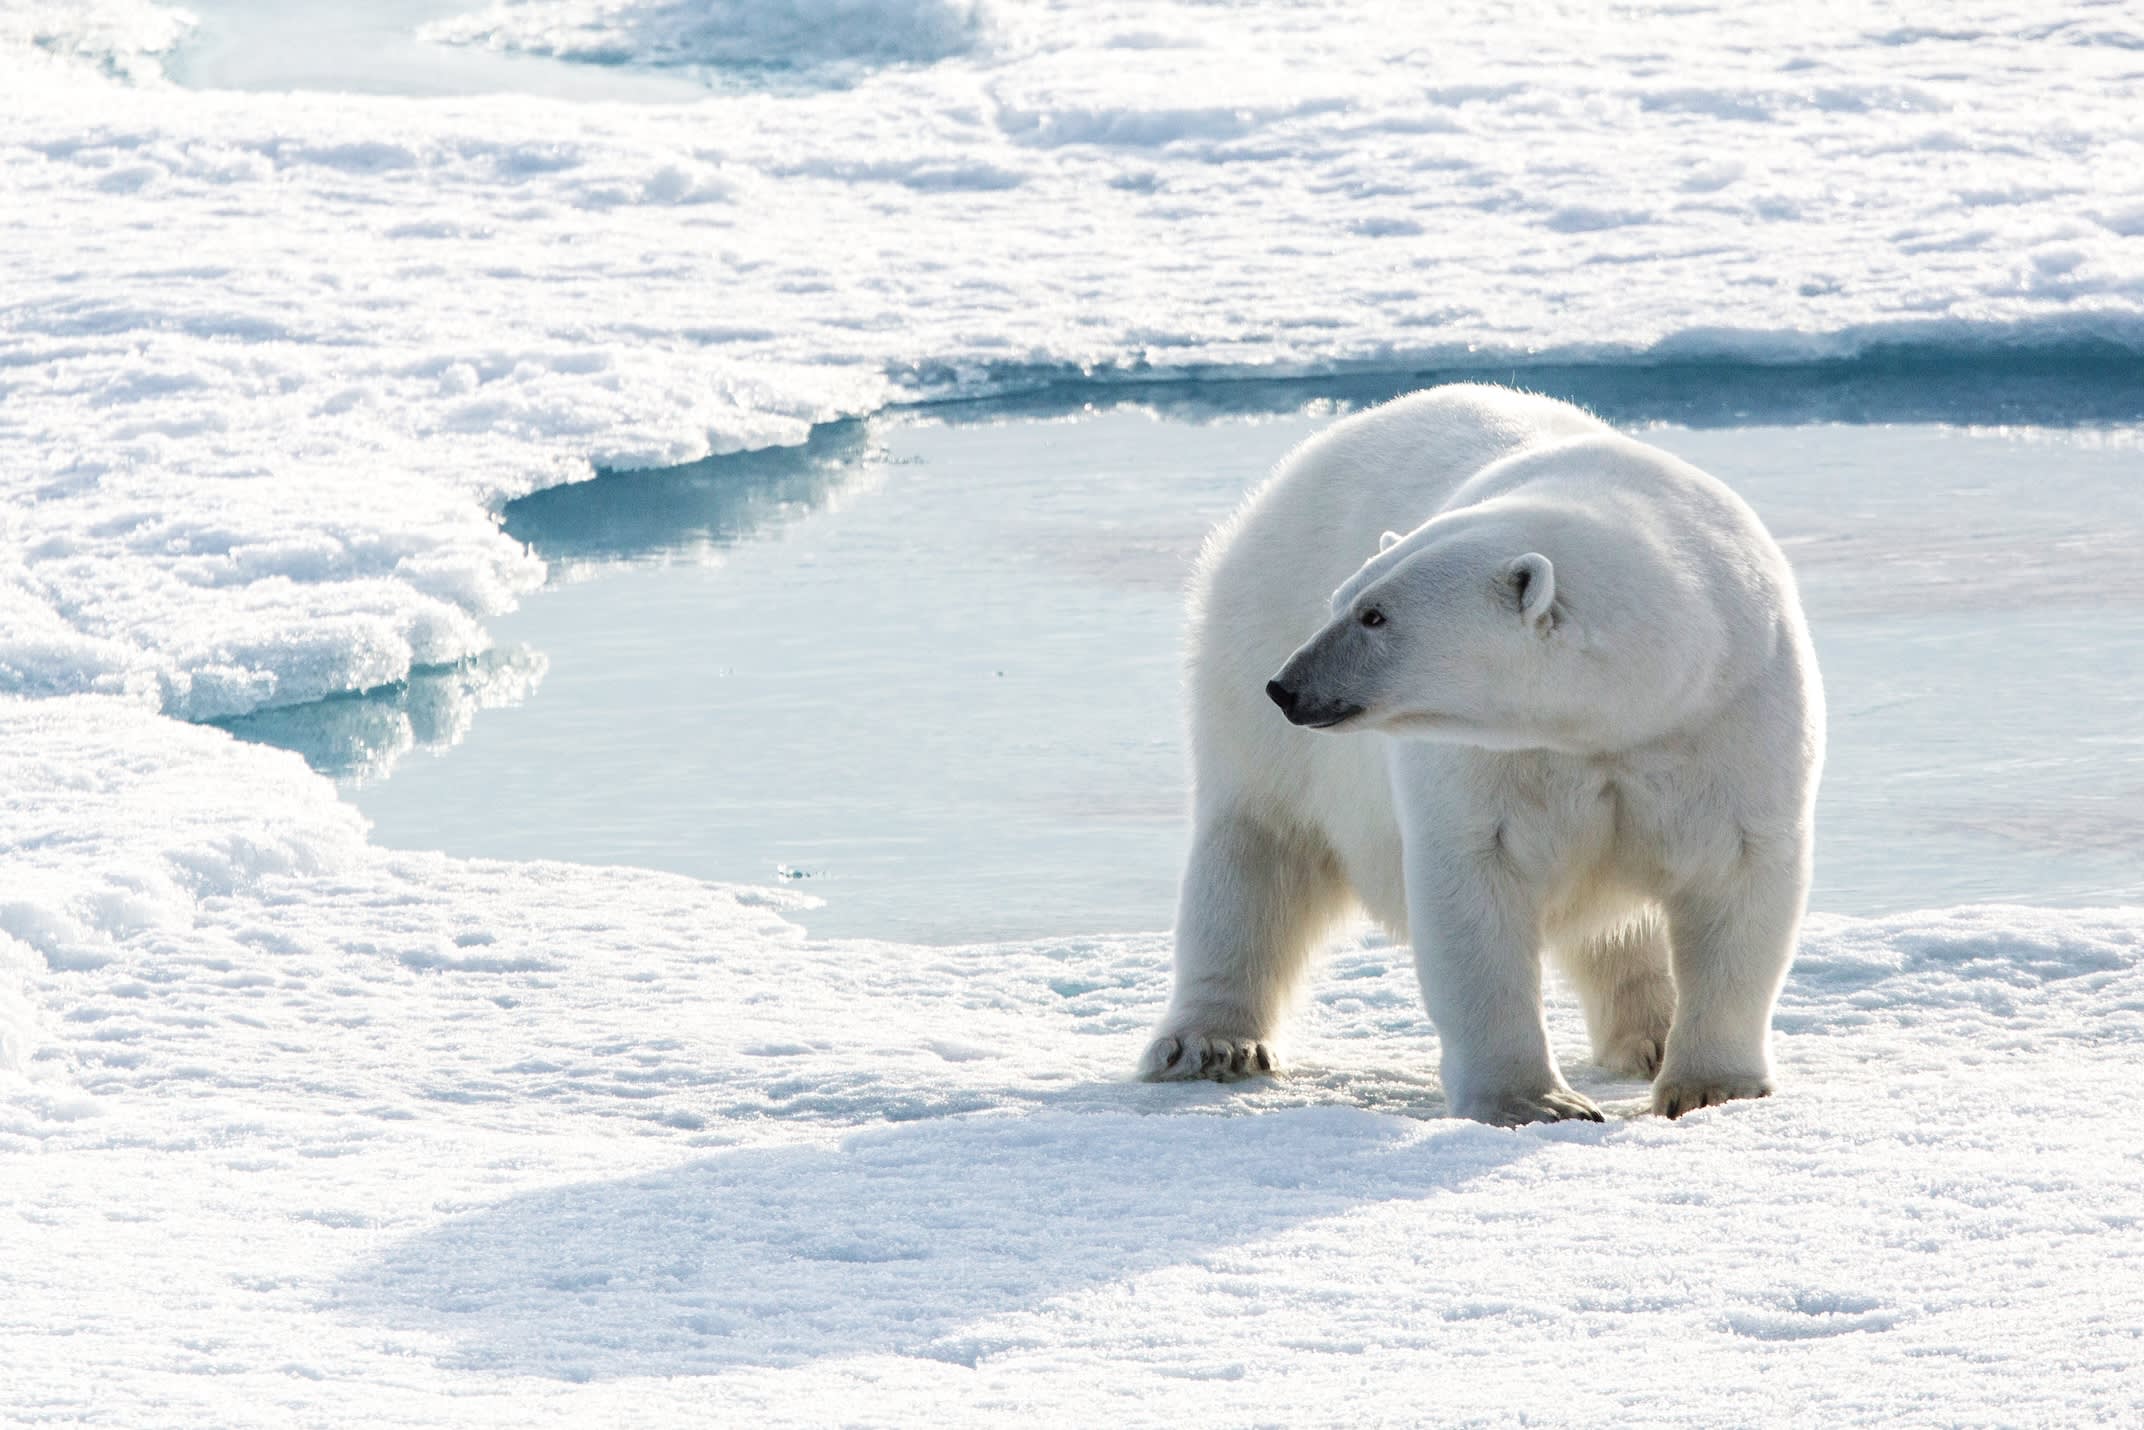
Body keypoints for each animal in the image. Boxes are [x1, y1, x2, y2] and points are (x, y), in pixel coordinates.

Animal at [1138, 384, 1824, 1124]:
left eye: (1375, 615)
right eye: (1342, 601)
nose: (1288, 686)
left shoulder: (1727, 718)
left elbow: (1737, 875)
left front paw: (1710, 1087)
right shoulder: (1487, 760)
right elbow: (1475, 886)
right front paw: (1537, 1101)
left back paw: (1649, 1036)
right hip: (1253, 655)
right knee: (1257, 850)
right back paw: (1211, 1044)